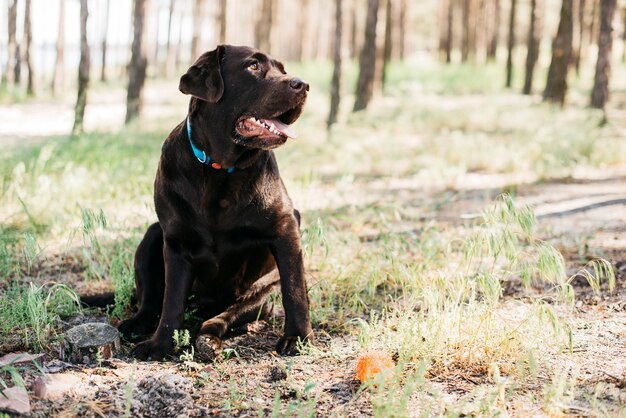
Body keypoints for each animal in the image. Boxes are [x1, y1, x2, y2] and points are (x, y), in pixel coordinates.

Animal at [116, 45, 310, 360]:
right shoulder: (176, 243)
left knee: (221, 318)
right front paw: (161, 344)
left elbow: (295, 291)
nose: (303, 85)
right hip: (152, 235)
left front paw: (297, 337)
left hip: (260, 292)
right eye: (253, 66)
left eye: (282, 69)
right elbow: (171, 301)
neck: (220, 170)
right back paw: (137, 325)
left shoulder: (286, 227)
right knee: (151, 302)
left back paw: (209, 339)